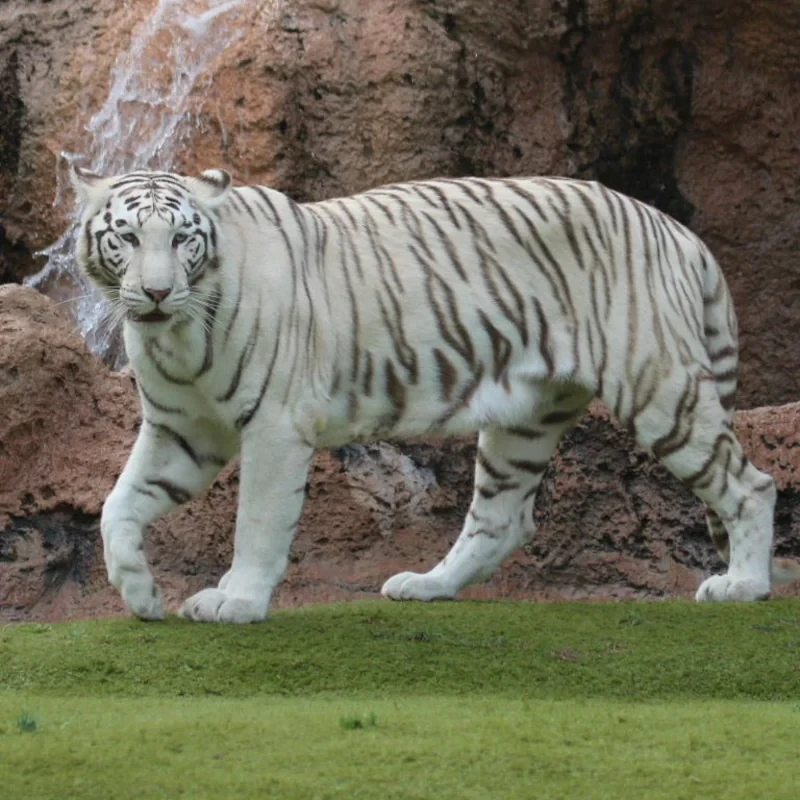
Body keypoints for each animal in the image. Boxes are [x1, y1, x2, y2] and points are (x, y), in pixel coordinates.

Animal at [69, 164, 799, 623]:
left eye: (182, 238)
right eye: (127, 236)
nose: (156, 291)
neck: (176, 335)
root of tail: (679, 232)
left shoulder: (276, 425)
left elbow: (256, 520)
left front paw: (237, 602)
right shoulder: (182, 429)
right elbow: (117, 506)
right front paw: (140, 596)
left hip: (661, 388)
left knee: (751, 485)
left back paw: (743, 586)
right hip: (526, 417)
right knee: (504, 518)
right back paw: (428, 586)